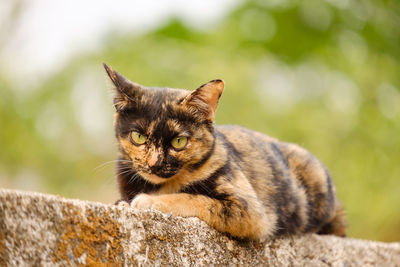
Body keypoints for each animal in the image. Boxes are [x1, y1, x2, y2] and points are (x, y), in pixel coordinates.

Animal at [104, 63, 346, 243]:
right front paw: (123, 203)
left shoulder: (250, 211)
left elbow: (196, 199)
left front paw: (147, 201)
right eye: (138, 137)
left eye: (179, 141)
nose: (154, 163)